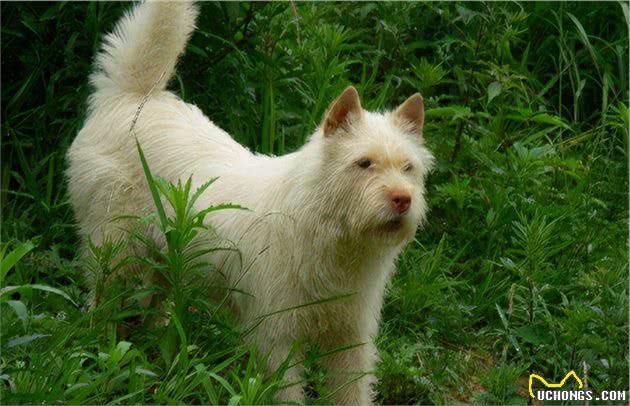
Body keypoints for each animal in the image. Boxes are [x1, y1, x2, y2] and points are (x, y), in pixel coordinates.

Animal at [68, 2, 434, 402]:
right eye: (364, 163)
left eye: (408, 168)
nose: (402, 199)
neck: (328, 234)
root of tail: (134, 97)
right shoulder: (278, 342)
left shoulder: (351, 342)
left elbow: (351, 394)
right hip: (114, 253)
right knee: (100, 301)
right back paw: (97, 349)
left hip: (163, 259)